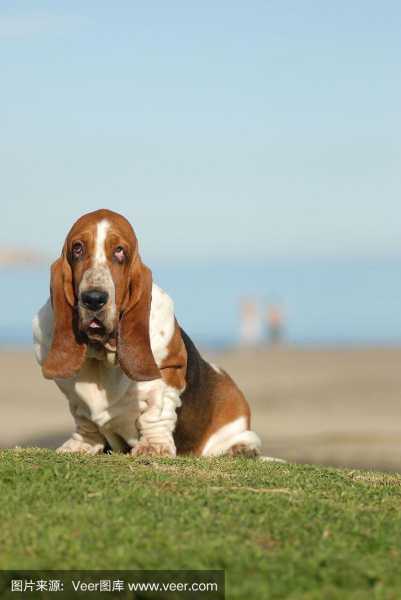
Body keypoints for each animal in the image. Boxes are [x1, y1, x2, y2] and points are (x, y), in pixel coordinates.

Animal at [32, 209, 260, 458]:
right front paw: (81, 444)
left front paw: (153, 446)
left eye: (119, 251)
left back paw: (240, 449)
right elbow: (84, 418)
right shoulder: (72, 395)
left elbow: (156, 412)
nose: (93, 299)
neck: (102, 355)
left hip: (236, 422)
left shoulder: (169, 371)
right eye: (77, 248)